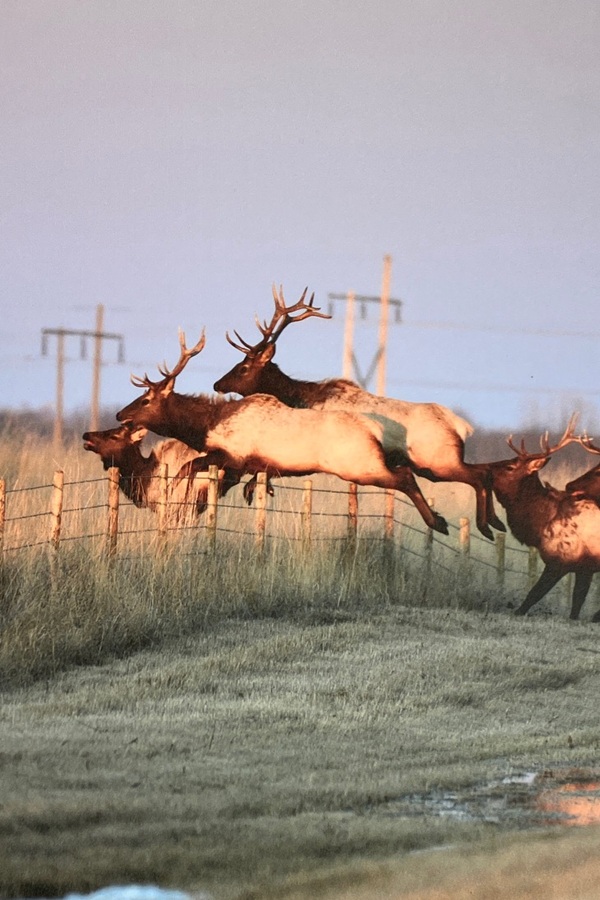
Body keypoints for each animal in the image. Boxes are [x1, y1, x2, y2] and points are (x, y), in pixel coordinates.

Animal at [115, 330, 451, 534]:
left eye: (145, 400)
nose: (121, 415)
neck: (206, 424)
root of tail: (373, 429)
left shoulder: (233, 456)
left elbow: (187, 468)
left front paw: (175, 492)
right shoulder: (246, 464)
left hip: (359, 466)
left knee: (404, 477)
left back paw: (438, 522)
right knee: (406, 472)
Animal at [213, 285, 505, 541]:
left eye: (243, 367)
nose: (217, 384)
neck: (300, 398)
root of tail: (461, 425)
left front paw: (253, 488)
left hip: (434, 460)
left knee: (477, 475)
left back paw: (479, 524)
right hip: (438, 463)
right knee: (484, 471)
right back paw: (493, 523)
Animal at [488, 415, 600, 621]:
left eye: (510, 467)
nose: (484, 468)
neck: (539, 525)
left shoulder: (561, 561)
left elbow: (534, 594)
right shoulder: (584, 568)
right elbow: (576, 605)